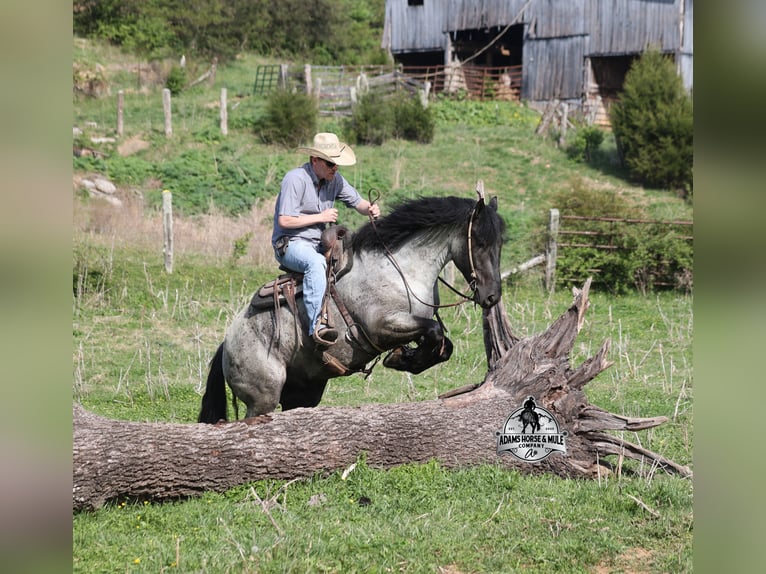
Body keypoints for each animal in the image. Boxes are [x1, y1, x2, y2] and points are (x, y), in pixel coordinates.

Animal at [198, 193, 506, 423]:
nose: (492, 297)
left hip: (303, 393)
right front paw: (401, 359)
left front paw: (407, 358)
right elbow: (434, 332)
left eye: (500, 243)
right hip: (264, 397)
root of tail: (227, 343)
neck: (399, 268)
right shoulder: (382, 327)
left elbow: (443, 346)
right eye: (480, 242)